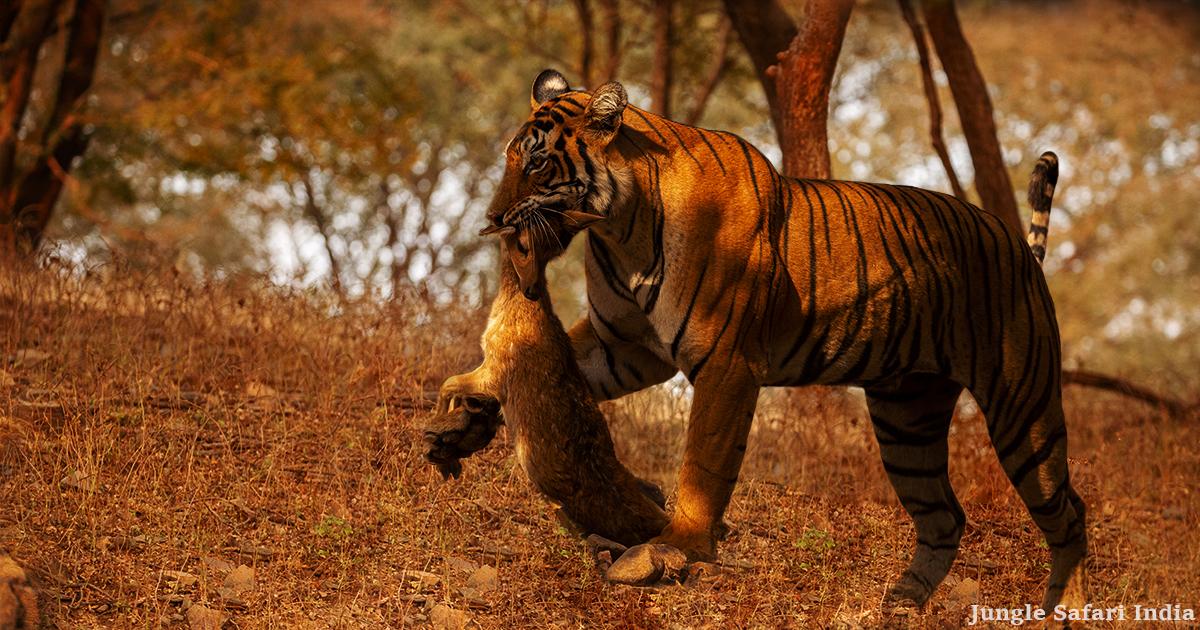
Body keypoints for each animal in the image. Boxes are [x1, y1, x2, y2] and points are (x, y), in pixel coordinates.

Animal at [480, 68, 1085, 612]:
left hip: (1022, 411)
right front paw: (475, 404)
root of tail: (1018, 245)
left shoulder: (727, 362)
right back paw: (902, 602)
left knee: (1070, 513)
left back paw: (1067, 609)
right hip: (908, 418)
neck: (620, 226)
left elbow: (702, 463)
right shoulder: (626, 347)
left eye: (536, 161)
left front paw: (679, 546)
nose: (492, 217)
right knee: (945, 516)